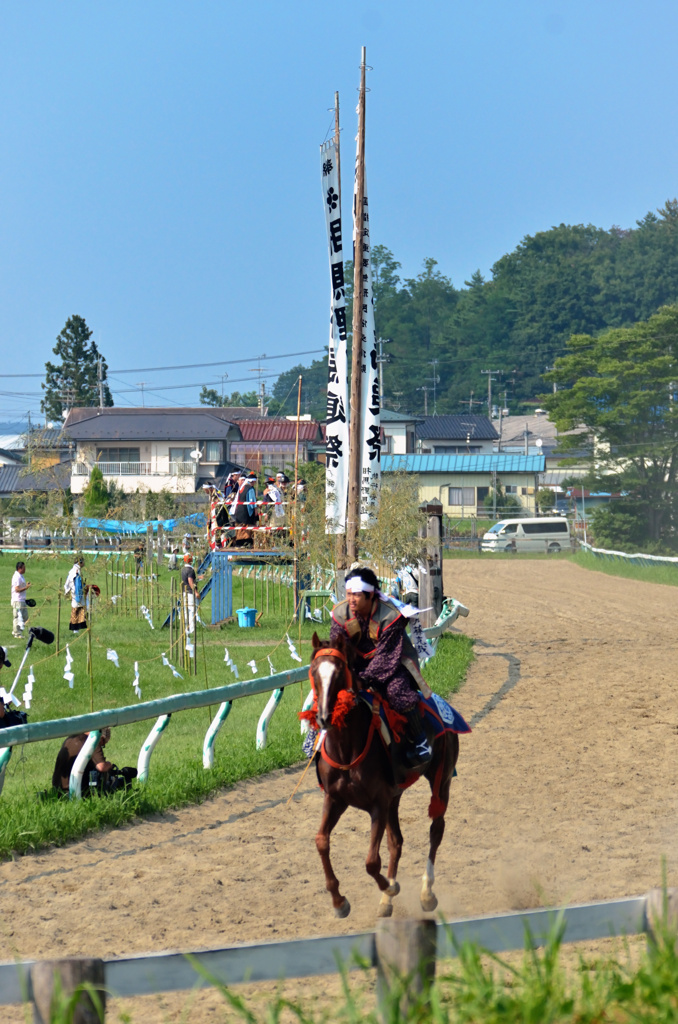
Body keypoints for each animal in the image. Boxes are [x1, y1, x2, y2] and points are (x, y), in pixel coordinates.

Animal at [309, 630, 462, 921]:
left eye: (339, 672)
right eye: (313, 671)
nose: (323, 717)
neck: (347, 749)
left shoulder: (378, 803)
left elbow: (371, 862)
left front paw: (391, 887)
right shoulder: (336, 799)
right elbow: (322, 841)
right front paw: (339, 901)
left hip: (442, 778)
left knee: (436, 829)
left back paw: (426, 893)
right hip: (396, 796)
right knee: (396, 842)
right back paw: (386, 901)